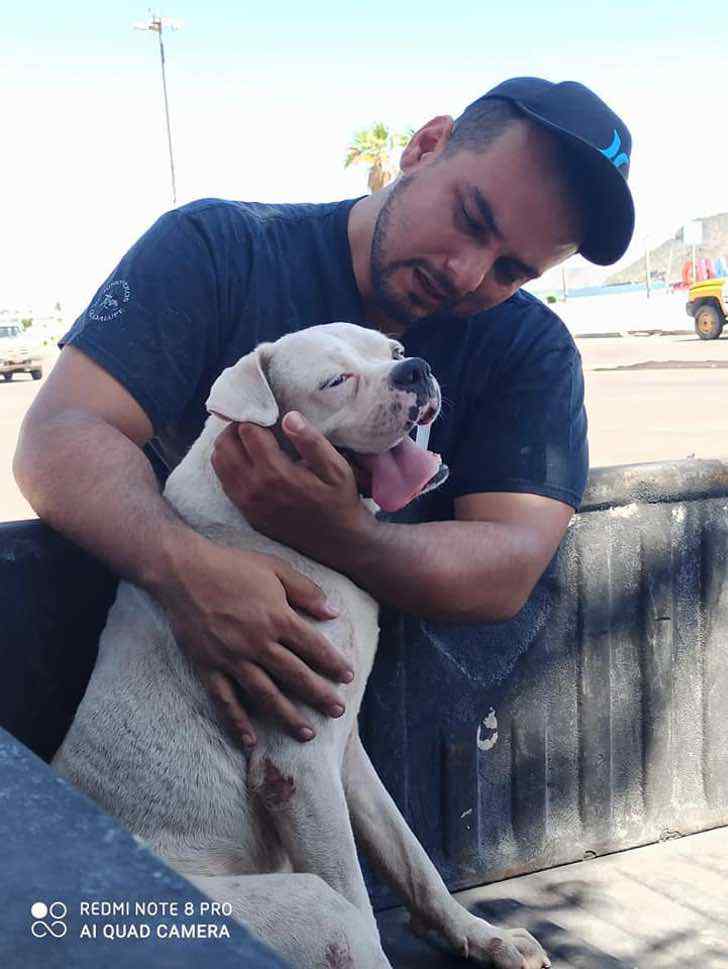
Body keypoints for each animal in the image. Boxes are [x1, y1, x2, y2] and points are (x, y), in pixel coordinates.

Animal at [52, 322, 544, 964]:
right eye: (336, 381)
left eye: (391, 351)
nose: (415, 368)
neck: (265, 525)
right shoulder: (299, 765)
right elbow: (357, 898)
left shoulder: (346, 751)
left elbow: (412, 858)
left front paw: (482, 935)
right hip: (300, 903)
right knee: (341, 916)